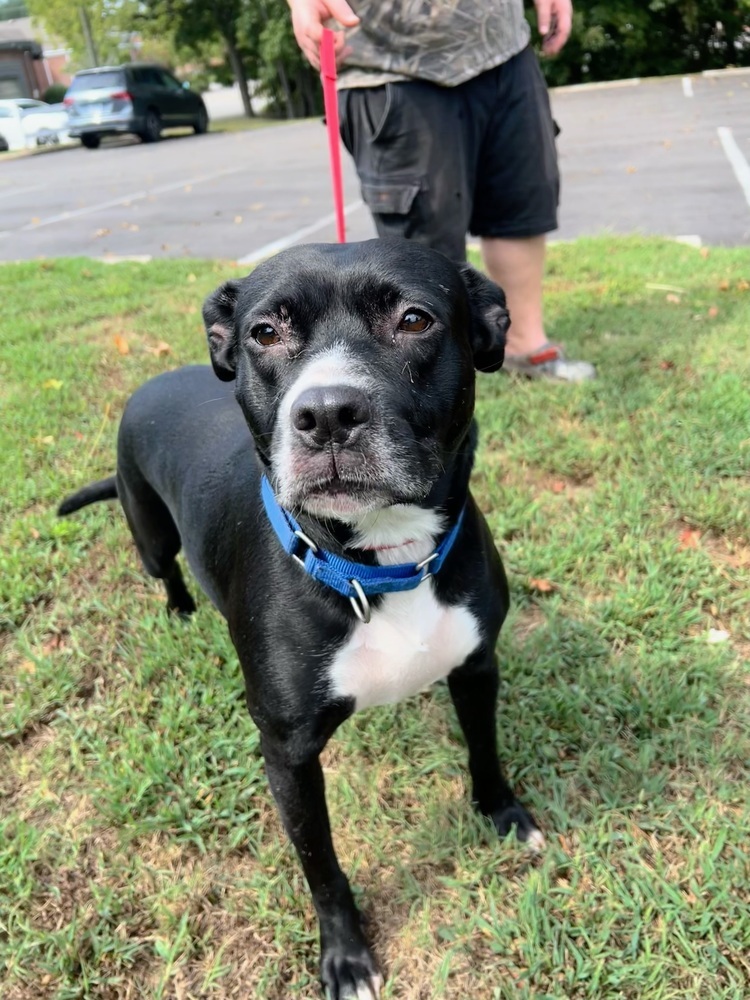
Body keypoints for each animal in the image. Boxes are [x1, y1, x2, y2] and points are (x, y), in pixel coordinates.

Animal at [57, 240, 540, 1000]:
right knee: (164, 570)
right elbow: (321, 866)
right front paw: (345, 956)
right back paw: (181, 614)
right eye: (264, 332)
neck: (379, 564)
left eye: (415, 319)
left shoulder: (475, 667)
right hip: (149, 530)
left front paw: (504, 814)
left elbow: (483, 750)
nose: (329, 413)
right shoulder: (287, 754)